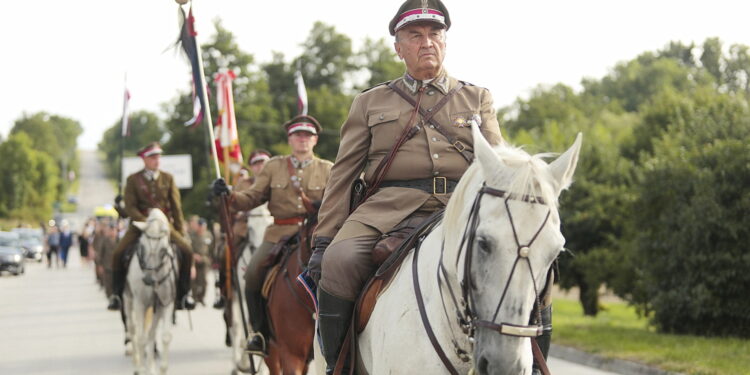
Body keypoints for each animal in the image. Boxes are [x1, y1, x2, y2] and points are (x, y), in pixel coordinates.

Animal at [126, 210, 181, 374]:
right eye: (142, 247)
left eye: (163, 250)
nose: (148, 280)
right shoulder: (140, 303)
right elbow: (140, 337)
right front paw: (141, 369)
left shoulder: (167, 303)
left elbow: (165, 337)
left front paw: (161, 369)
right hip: (128, 300)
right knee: (133, 329)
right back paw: (137, 364)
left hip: (157, 308)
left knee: (151, 334)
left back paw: (150, 367)